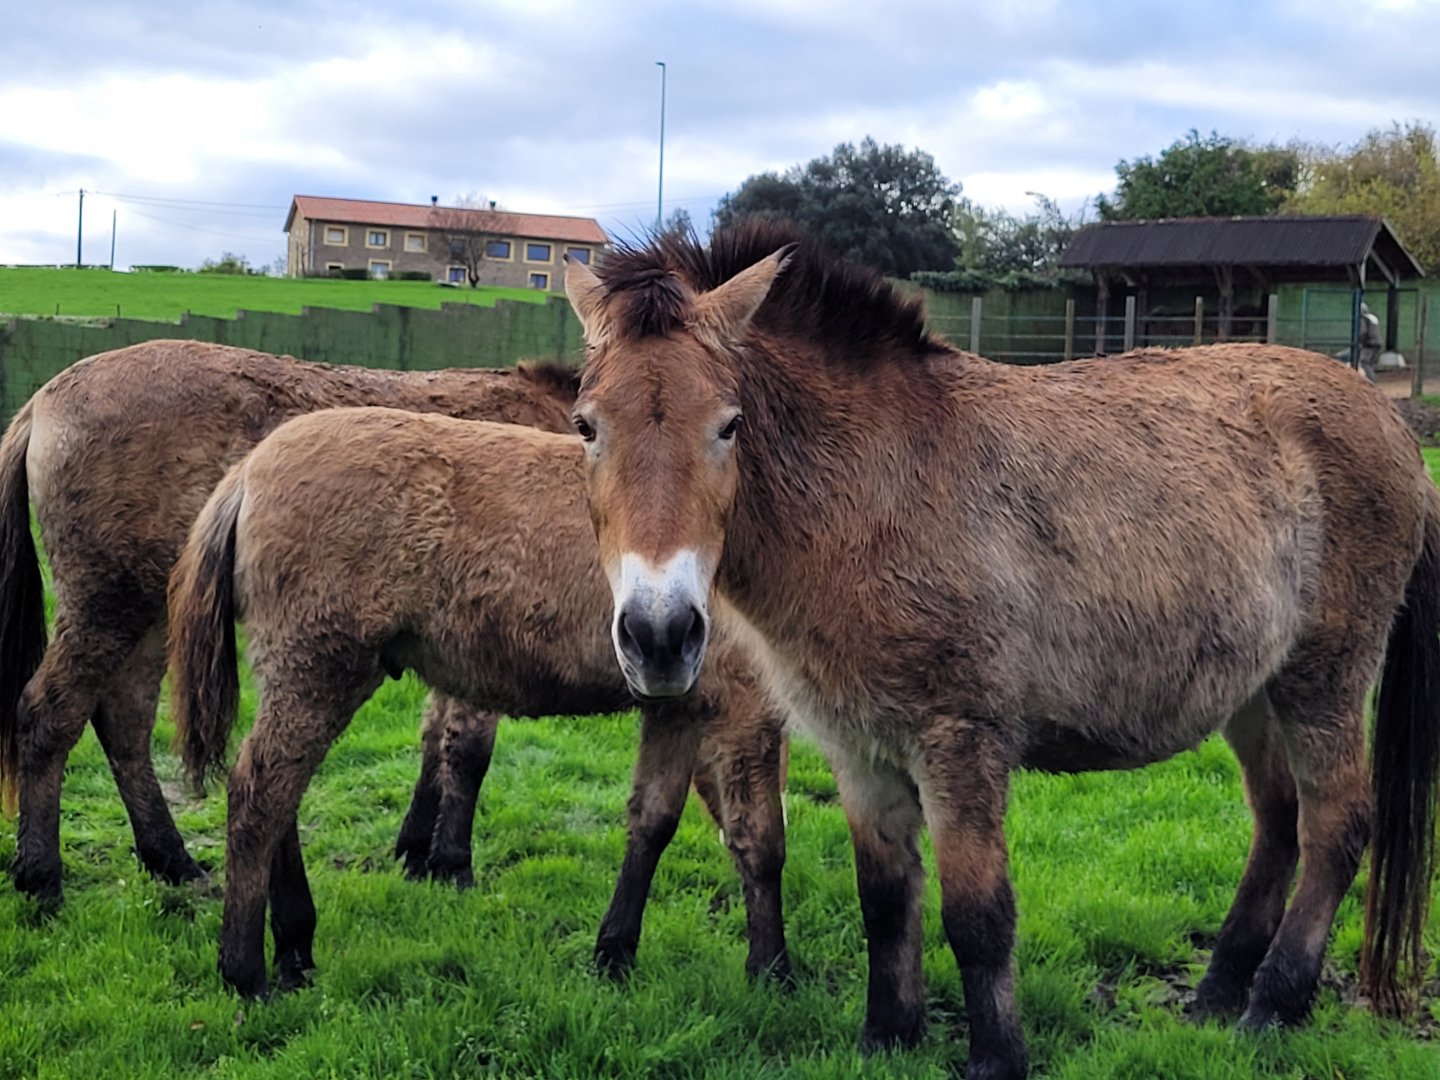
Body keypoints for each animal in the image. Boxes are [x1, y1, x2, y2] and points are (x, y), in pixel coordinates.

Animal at [0, 339, 580, 902]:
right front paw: (453, 864)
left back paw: (171, 861)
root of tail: (44, 400)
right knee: (47, 715)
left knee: (124, 722)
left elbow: (434, 741)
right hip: (107, 606)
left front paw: (416, 853)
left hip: (151, 613)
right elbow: (467, 751)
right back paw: (41, 875)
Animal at [167, 407, 789, 999]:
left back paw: (295, 948)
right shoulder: (745, 709)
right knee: (261, 795)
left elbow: (652, 824)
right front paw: (773, 970)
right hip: (317, 670)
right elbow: (761, 841)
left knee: (282, 797)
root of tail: (247, 472)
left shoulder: (674, 707)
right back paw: (246, 973)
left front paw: (614, 953)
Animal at [560, 221, 1439, 1080]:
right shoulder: (860, 747)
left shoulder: (961, 741)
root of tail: (1390, 424)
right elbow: (885, 898)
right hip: (1256, 690)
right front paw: (888, 1037)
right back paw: (1219, 991)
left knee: (1336, 825)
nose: (660, 633)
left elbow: (977, 913)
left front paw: (996, 1055)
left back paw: (1274, 1005)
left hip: (1324, 676)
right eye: (587, 425)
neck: (878, 489)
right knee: (1279, 822)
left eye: (730, 424)